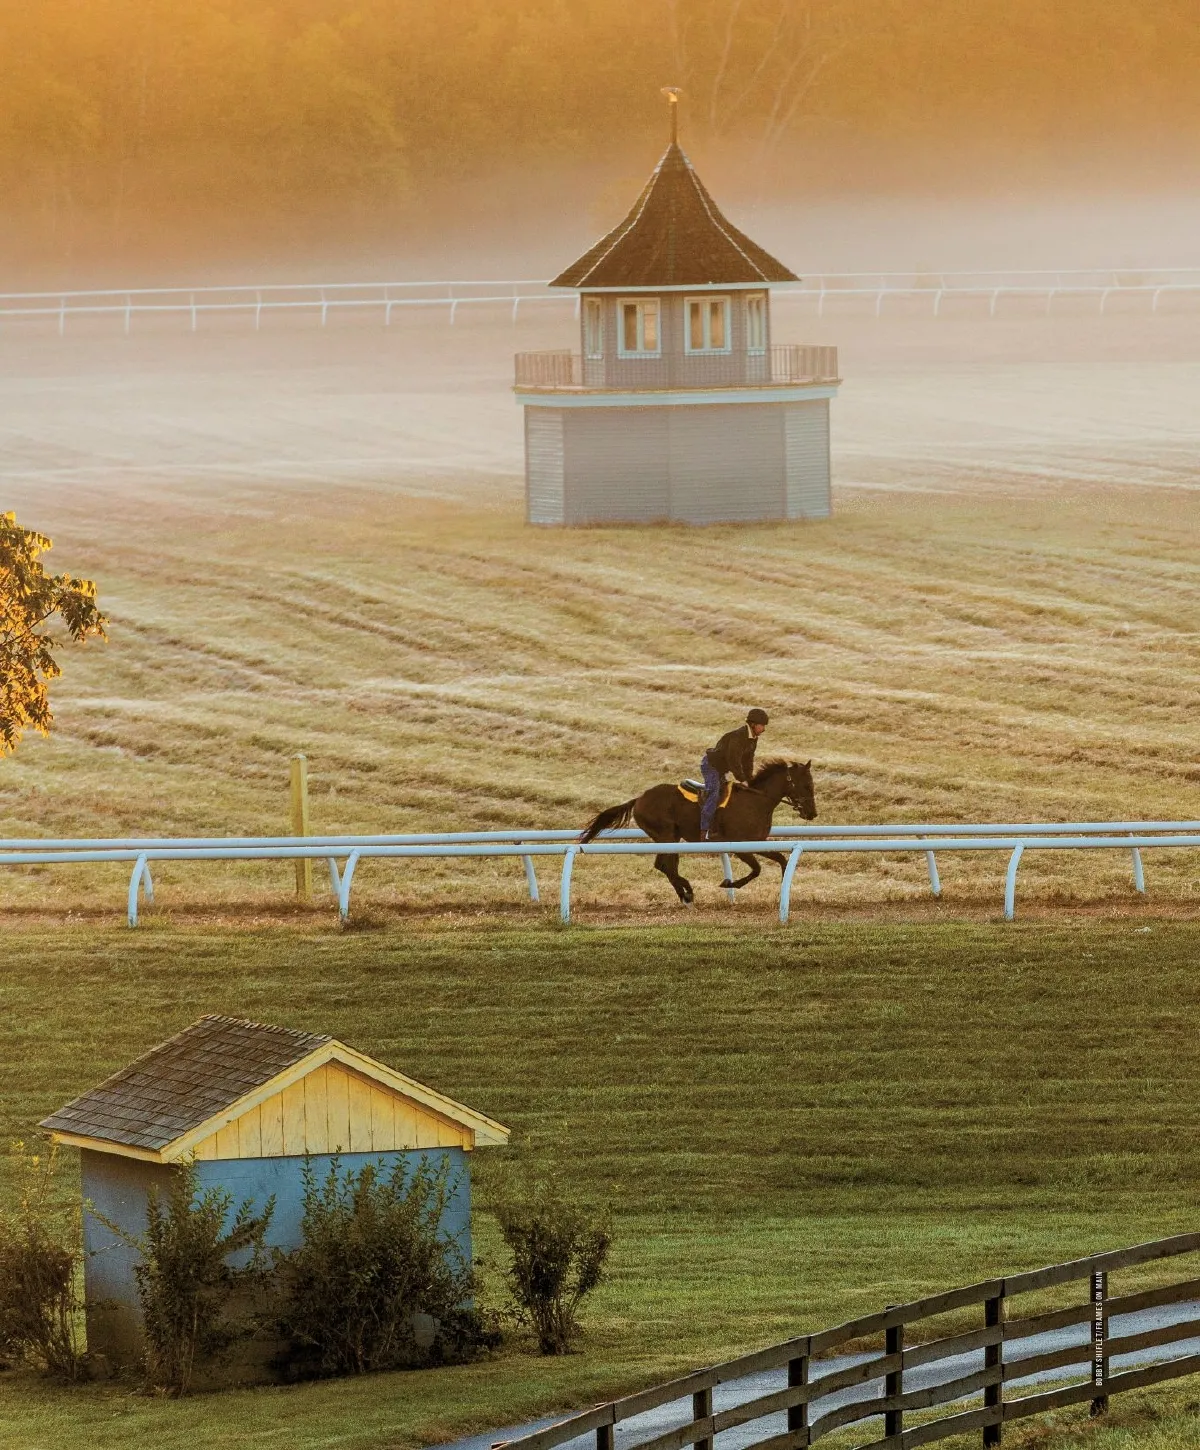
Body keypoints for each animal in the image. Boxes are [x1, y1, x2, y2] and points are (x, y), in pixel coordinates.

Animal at [578, 758, 817, 905]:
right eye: (806, 785)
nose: (812, 813)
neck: (756, 801)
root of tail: (639, 799)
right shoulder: (741, 846)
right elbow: (757, 869)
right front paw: (729, 883)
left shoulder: (758, 842)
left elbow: (782, 860)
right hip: (666, 835)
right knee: (665, 865)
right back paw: (687, 892)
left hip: (670, 837)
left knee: (665, 865)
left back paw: (684, 893)